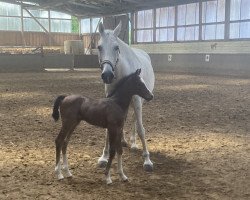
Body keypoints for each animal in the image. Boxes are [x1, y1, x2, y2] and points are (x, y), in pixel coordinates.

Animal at [96, 21, 153, 172]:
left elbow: (141, 129)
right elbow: (108, 129)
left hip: (139, 102)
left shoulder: (136, 99)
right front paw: (104, 156)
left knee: (134, 120)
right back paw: (123, 140)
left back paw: (133, 143)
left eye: (116, 47)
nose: (107, 75)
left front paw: (147, 160)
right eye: (99, 47)